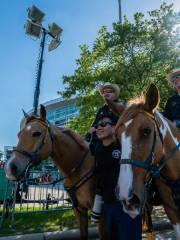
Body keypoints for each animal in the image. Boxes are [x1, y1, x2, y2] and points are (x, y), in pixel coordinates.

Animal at [4, 105, 104, 240]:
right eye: (19, 135)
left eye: (36, 133)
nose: (10, 167)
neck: (79, 168)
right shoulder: (79, 211)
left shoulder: (101, 216)